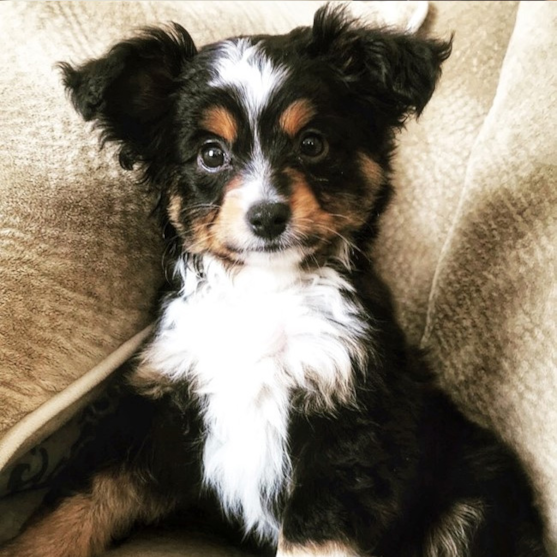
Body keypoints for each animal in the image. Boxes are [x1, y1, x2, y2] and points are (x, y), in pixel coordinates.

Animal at [1, 5, 548, 556]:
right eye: (211, 154)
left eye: (312, 144)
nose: (267, 216)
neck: (263, 293)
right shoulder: (154, 412)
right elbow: (77, 502)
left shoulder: (348, 432)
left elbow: (312, 536)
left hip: (474, 493)